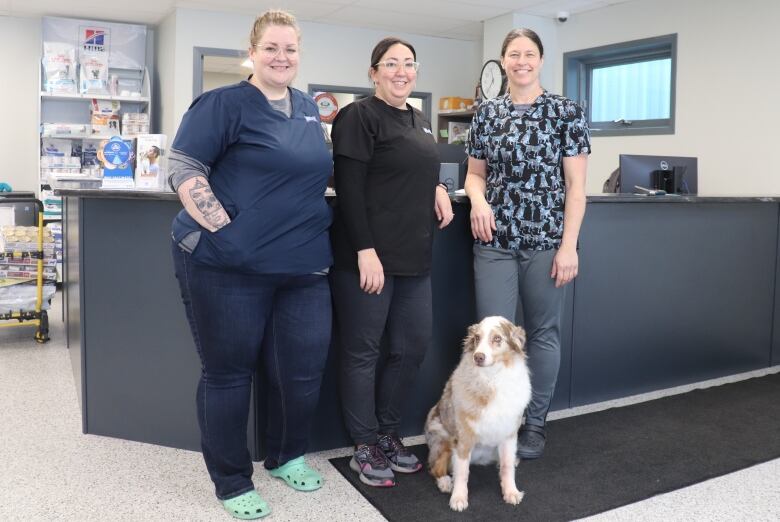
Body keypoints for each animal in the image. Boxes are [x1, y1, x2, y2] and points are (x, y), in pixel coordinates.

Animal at [424, 314, 532, 510]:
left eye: (497, 338)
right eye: (476, 338)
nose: (478, 356)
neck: (492, 378)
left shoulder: (509, 434)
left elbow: (507, 467)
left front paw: (511, 492)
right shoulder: (463, 438)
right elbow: (462, 472)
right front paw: (458, 498)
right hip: (442, 439)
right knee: (435, 467)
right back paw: (445, 482)